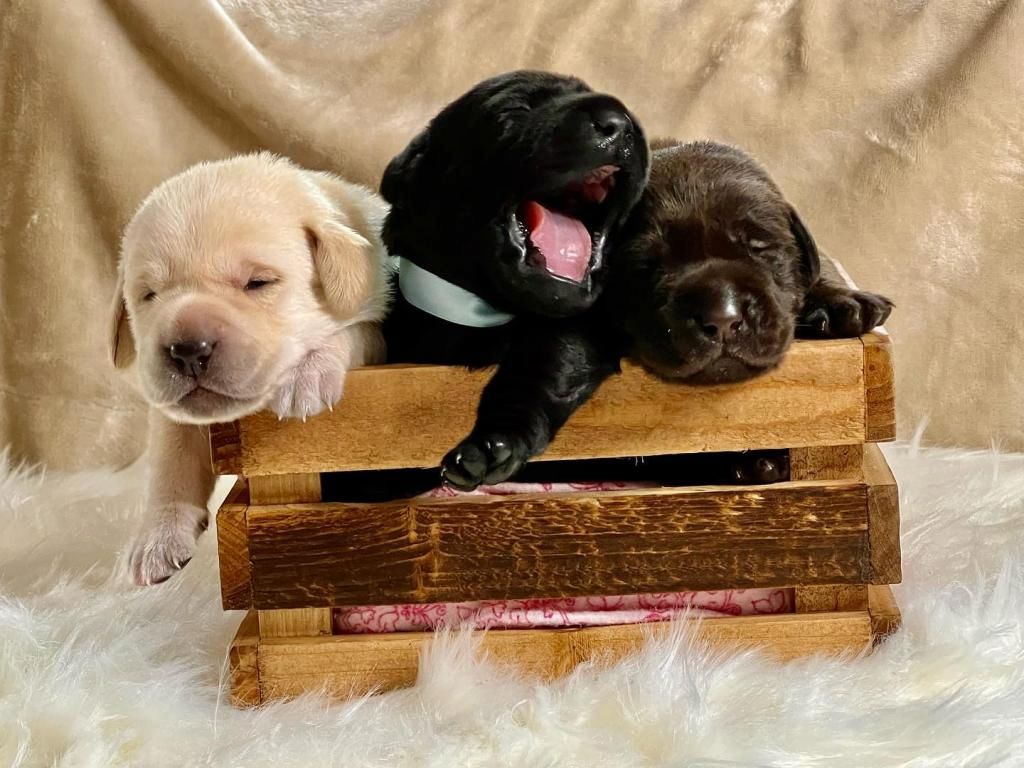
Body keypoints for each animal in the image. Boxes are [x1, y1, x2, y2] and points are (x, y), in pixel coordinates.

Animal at [107, 153, 392, 585]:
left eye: (259, 282)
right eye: (148, 295)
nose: (187, 350)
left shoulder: (377, 319)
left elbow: (351, 330)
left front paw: (307, 372)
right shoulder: (170, 410)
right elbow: (172, 458)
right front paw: (158, 537)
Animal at [380, 70, 650, 489]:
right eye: (515, 109)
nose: (619, 122)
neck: (483, 311)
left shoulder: (581, 325)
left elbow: (544, 363)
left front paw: (492, 444)